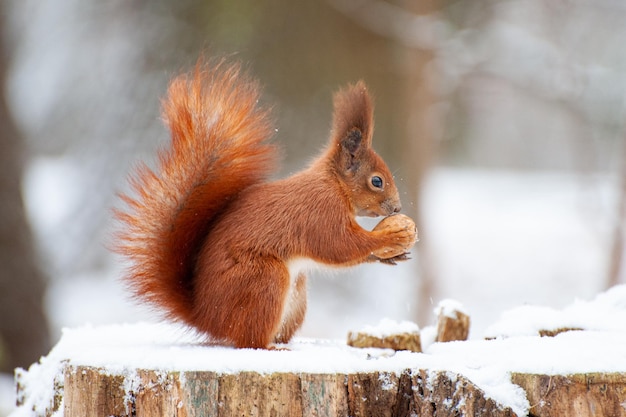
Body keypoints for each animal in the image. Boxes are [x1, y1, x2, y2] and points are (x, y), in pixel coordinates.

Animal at [114, 57, 416, 346]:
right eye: (376, 181)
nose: (397, 208)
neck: (335, 185)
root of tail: (206, 317)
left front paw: (392, 254)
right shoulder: (320, 211)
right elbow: (339, 245)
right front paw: (390, 237)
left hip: (296, 297)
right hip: (265, 279)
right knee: (248, 340)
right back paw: (270, 347)